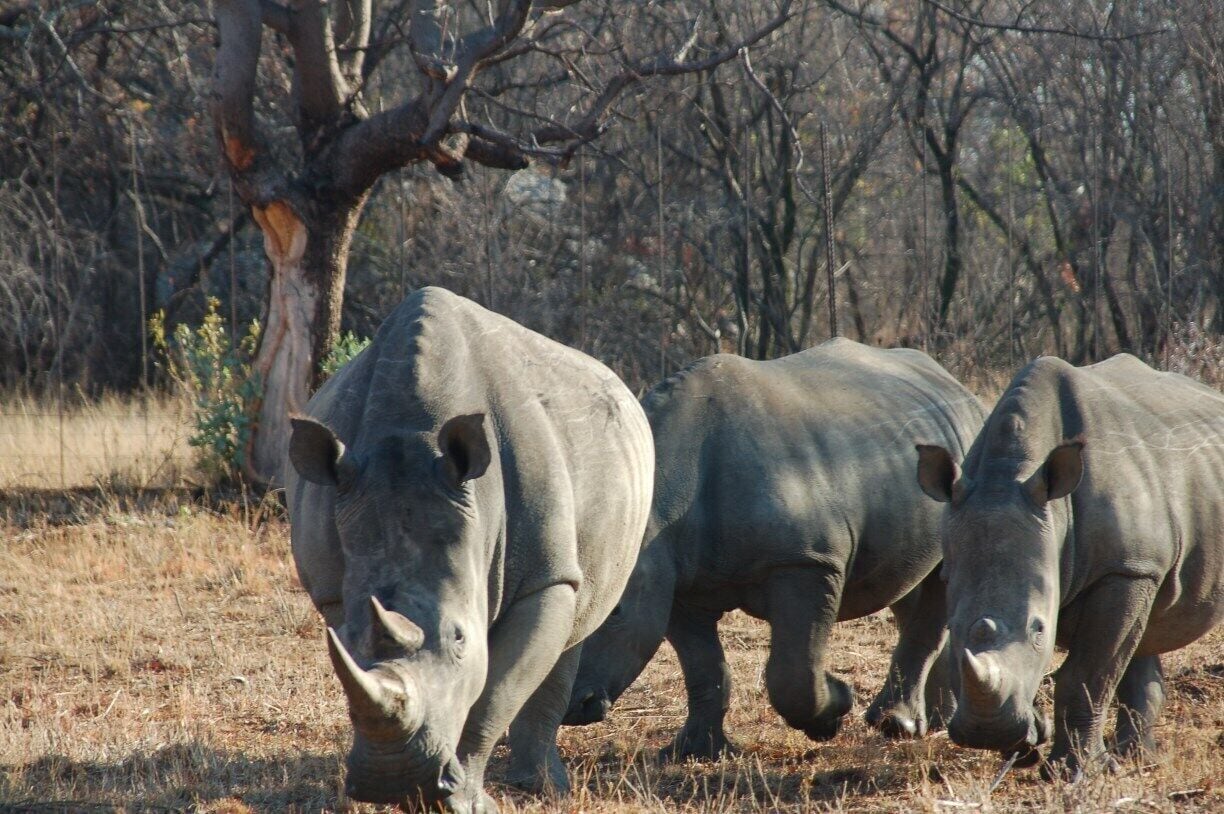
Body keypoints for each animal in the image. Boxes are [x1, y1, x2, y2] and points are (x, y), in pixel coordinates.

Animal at [284, 287, 653, 811]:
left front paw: (465, 800)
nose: (389, 781)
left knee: (576, 623)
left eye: (459, 638)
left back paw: (542, 787)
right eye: (348, 639)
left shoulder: (543, 577)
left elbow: (494, 694)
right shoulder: (334, 589)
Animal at [564, 338, 986, 757]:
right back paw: (934, 722)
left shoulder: (807, 562)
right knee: (907, 584)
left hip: (958, 472)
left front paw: (833, 709)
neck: (658, 503)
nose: (573, 708)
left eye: (615, 613)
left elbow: (793, 672)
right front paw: (696, 752)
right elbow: (705, 669)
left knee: (939, 580)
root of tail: (956, 386)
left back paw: (896, 726)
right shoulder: (678, 580)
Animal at [916, 354, 1224, 778]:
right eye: (953, 627)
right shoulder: (1130, 564)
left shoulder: (1124, 568)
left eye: (1039, 630)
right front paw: (1026, 747)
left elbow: (1088, 675)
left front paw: (1073, 773)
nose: (986, 733)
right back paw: (1136, 759)